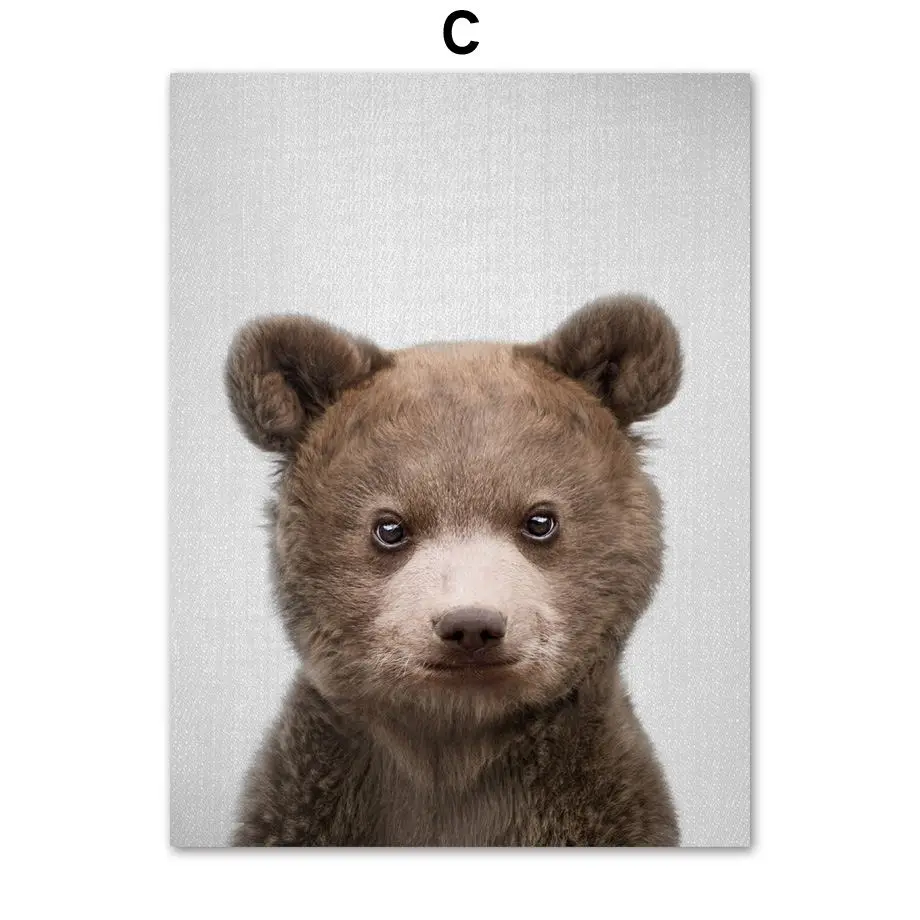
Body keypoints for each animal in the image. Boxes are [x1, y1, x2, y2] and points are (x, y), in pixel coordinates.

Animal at [224, 293, 682, 846]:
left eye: (540, 521)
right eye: (390, 527)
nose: (471, 626)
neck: (454, 745)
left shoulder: (599, 799)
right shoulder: (311, 796)